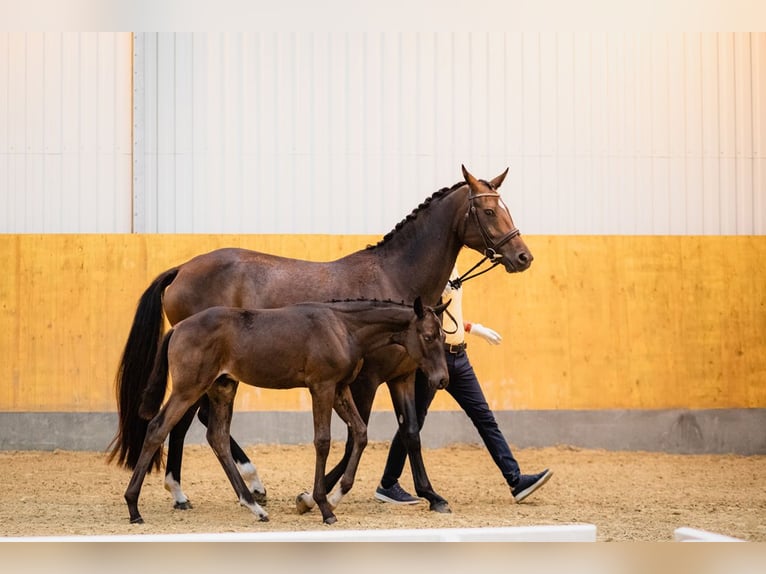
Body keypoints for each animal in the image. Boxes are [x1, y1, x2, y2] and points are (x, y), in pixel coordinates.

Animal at [125, 300, 450, 528]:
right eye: (428, 336)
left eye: (442, 335)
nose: (442, 379)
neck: (342, 327)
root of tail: (177, 328)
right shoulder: (322, 387)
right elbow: (323, 441)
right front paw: (323, 506)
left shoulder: (340, 388)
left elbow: (359, 434)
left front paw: (335, 496)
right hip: (189, 388)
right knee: (158, 428)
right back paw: (133, 507)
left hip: (222, 387)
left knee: (217, 437)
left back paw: (254, 507)